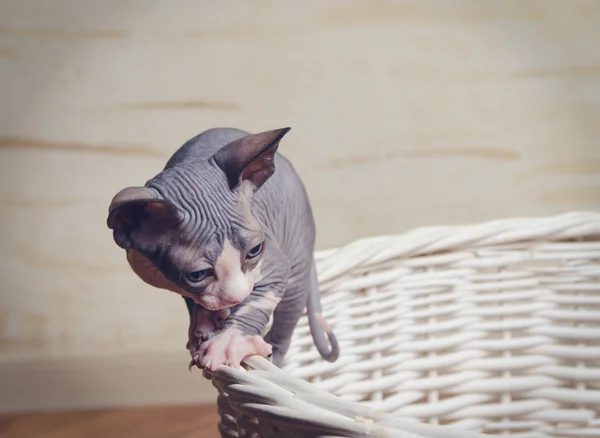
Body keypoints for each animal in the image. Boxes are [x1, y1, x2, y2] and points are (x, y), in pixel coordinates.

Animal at [104, 126, 338, 370]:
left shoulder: (274, 263)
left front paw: (230, 342)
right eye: (197, 274)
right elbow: (197, 301)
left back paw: (274, 355)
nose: (239, 295)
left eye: (255, 250)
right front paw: (204, 325)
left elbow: (257, 301)